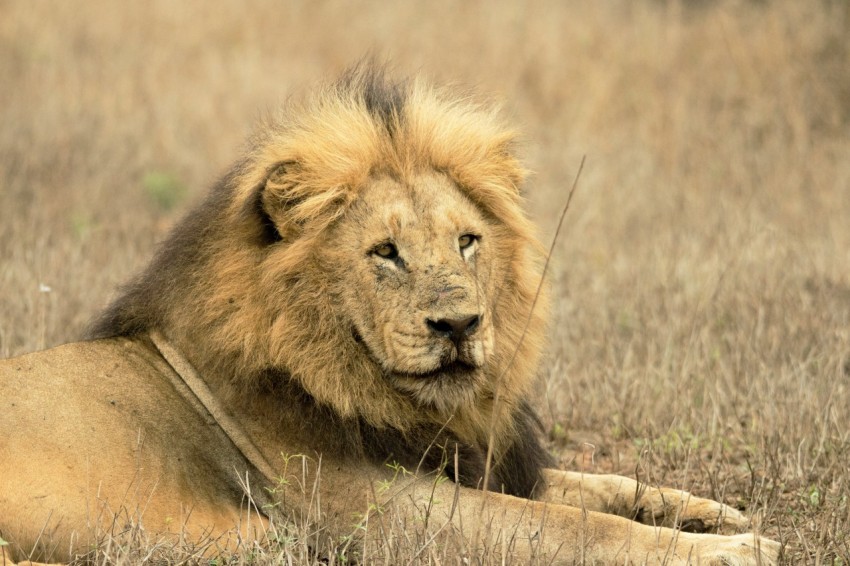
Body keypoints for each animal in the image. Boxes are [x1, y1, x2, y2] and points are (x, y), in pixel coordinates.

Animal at [0, 65, 780, 564]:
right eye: (386, 253)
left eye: (466, 241)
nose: (459, 326)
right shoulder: (389, 515)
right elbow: (571, 527)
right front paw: (739, 551)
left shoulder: (468, 462)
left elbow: (598, 489)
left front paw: (711, 513)